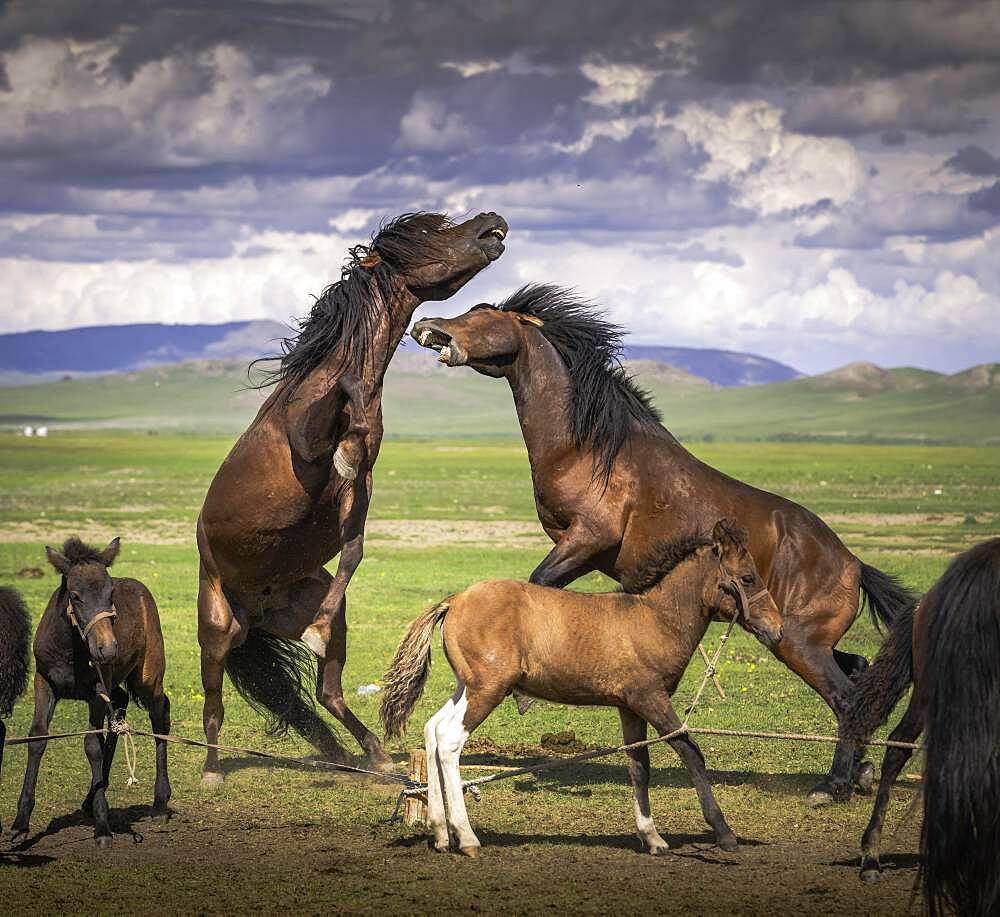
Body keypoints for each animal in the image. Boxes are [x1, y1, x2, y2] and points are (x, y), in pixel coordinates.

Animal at [10, 536, 170, 844]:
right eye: (75, 596)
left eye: (111, 593)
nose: (107, 649)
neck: (71, 650)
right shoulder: (43, 681)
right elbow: (37, 738)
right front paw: (20, 825)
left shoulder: (97, 690)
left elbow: (92, 745)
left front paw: (102, 827)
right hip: (114, 685)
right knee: (119, 711)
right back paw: (92, 796)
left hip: (147, 676)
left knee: (160, 715)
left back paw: (159, 803)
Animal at [197, 211, 508, 784]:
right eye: (427, 233)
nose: (491, 221)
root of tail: (257, 609)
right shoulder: (308, 445)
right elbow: (344, 391)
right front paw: (351, 395)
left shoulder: (356, 486)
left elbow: (356, 549)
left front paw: (317, 631)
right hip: (215, 627)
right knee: (213, 703)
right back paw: (211, 770)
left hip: (315, 622)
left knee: (328, 692)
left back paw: (374, 754)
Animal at [380, 524, 780, 860]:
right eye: (747, 577)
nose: (776, 629)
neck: (654, 619)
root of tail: (456, 599)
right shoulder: (650, 698)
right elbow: (690, 751)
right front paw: (724, 833)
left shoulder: (629, 707)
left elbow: (639, 767)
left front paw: (652, 838)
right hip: (488, 689)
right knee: (449, 740)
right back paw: (466, 837)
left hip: (469, 686)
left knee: (433, 730)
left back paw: (439, 833)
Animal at [412, 284, 916, 800]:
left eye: (484, 315)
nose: (428, 326)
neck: (591, 447)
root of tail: (853, 564)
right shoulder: (584, 551)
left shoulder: (586, 537)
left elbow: (539, 582)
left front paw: (523, 693)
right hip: (796, 639)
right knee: (858, 675)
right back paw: (860, 773)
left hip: (797, 642)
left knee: (846, 697)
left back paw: (832, 785)